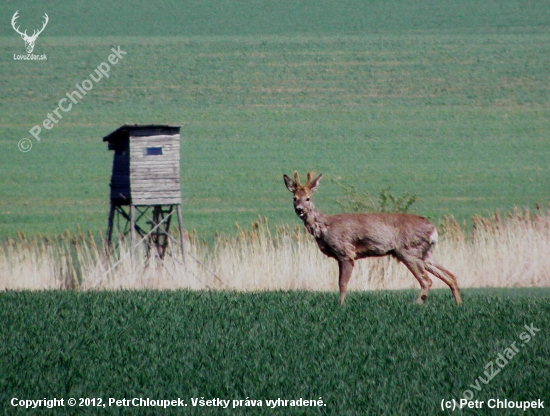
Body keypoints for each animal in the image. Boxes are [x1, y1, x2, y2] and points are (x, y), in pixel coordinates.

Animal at [286, 171, 464, 306]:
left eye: (308, 198)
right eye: (294, 198)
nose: (299, 209)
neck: (325, 228)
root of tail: (433, 230)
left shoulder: (346, 252)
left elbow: (342, 284)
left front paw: (340, 306)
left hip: (408, 251)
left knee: (427, 281)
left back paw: (416, 304)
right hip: (425, 253)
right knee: (450, 276)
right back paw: (458, 304)